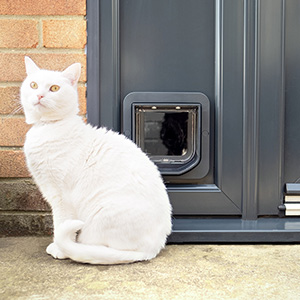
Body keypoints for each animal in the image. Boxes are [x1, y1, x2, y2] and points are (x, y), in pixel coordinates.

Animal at [21, 56, 172, 264]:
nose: (40, 96)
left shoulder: (62, 198)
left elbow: (61, 224)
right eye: (33, 85)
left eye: (54, 88)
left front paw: (58, 249)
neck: (46, 128)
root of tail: (154, 248)